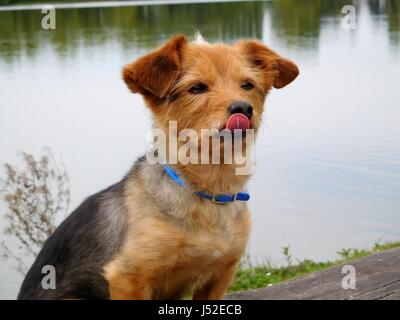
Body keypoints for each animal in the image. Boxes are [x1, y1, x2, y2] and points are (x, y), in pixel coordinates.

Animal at [18, 33, 298, 298]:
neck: (209, 189)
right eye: (197, 88)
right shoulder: (128, 278)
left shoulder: (221, 274)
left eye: (248, 85)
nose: (243, 108)